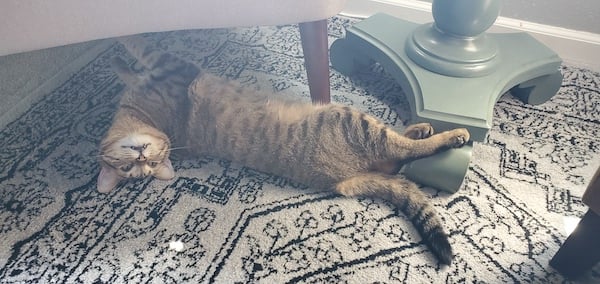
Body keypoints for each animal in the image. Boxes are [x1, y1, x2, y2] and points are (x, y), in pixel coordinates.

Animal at [97, 36, 468, 266]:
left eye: (146, 165)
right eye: (131, 170)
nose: (143, 159)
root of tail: (341, 181)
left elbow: (128, 64)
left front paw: (113, 60)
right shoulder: (171, 66)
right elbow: (140, 44)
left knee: (397, 155)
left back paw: (421, 127)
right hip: (352, 120)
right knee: (402, 151)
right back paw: (451, 135)